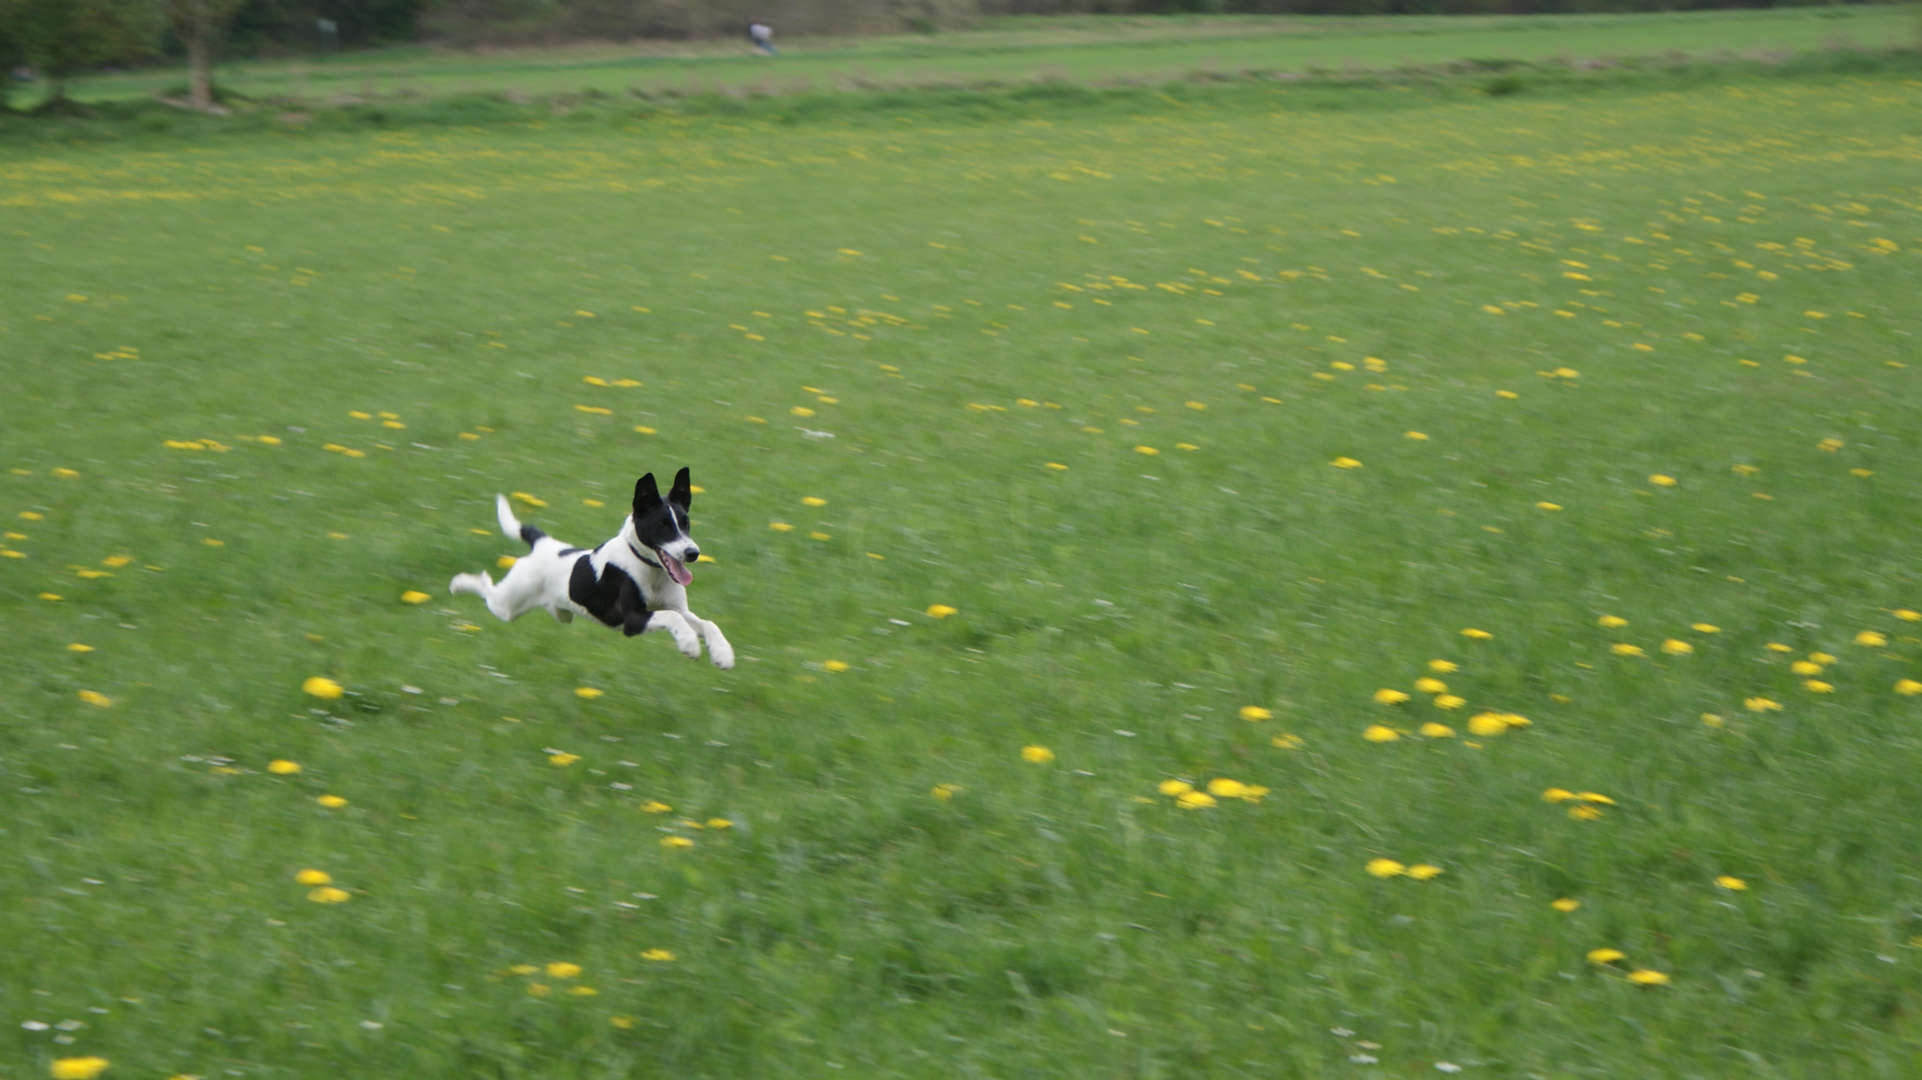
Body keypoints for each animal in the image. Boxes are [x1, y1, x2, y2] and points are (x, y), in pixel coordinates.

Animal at [449, 468, 734, 668]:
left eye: (686, 523)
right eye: (662, 525)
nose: (693, 553)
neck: (646, 567)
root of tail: (543, 543)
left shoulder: (678, 609)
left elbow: (706, 623)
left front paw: (723, 653)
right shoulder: (633, 619)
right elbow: (673, 619)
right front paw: (689, 644)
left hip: (558, 611)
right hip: (508, 603)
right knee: (487, 587)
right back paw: (459, 583)